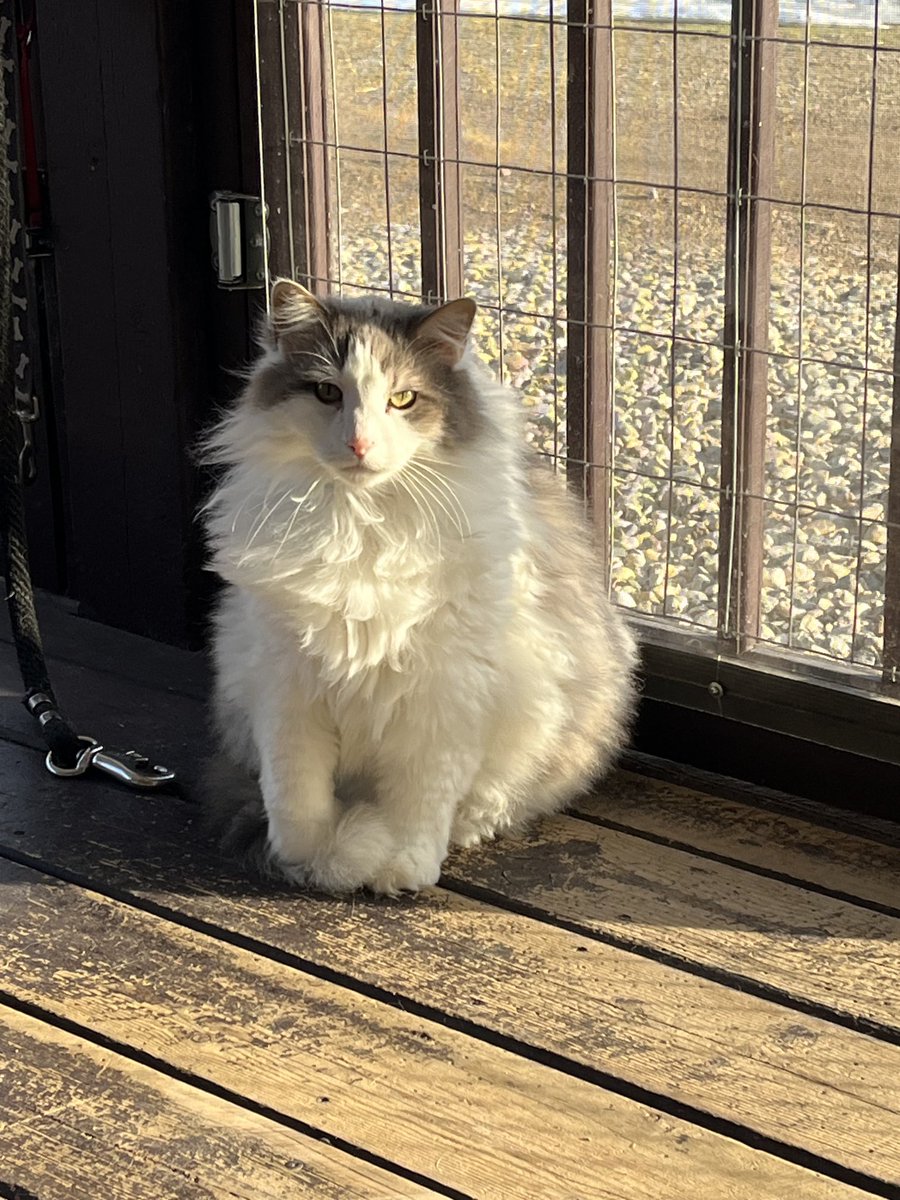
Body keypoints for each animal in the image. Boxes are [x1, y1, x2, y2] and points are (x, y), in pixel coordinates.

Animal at [202, 280, 643, 897]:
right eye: (327, 392)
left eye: (404, 399)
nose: (360, 445)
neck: (359, 527)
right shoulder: (287, 684)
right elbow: (296, 794)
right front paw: (310, 860)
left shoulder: (444, 693)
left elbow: (420, 802)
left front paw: (402, 868)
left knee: (491, 800)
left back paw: (465, 830)